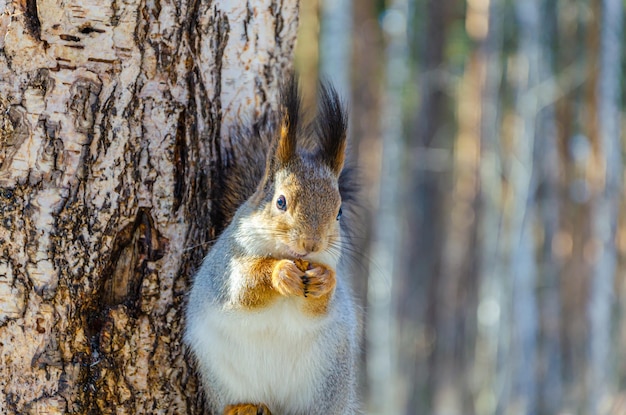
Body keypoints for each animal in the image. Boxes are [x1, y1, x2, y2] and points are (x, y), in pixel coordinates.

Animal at [183, 75, 358, 415]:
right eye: (280, 201)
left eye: (339, 212)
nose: (310, 244)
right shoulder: (228, 264)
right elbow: (245, 287)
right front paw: (280, 273)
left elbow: (318, 307)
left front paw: (323, 281)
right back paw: (244, 407)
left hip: (328, 386)